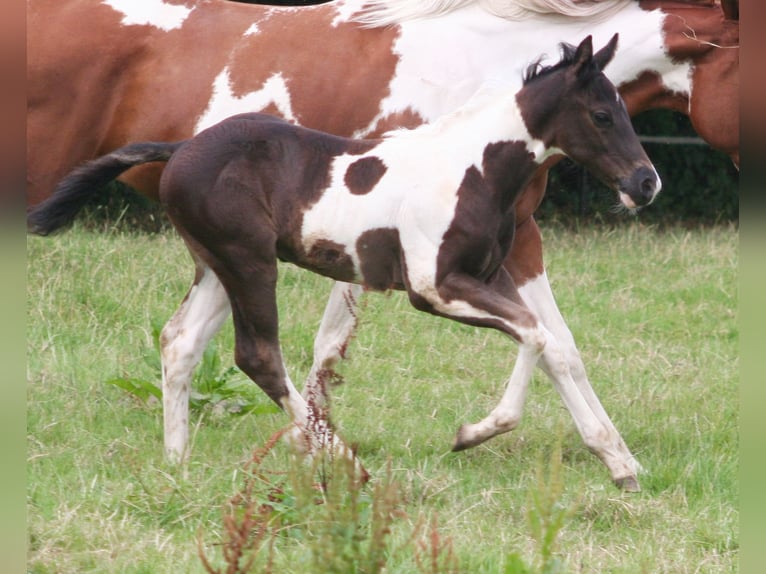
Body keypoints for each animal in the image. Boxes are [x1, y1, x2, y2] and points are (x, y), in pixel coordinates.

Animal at [27, 1, 740, 496]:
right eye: (600, 115)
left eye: (622, 107)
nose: (645, 184)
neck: (474, 163)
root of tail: (181, 148)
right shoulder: (435, 289)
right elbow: (536, 335)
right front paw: (473, 434)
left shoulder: (492, 276)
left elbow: (547, 340)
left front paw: (614, 461)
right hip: (249, 264)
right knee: (257, 355)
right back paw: (340, 460)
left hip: (217, 266)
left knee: (182, 343)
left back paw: (178, 462)